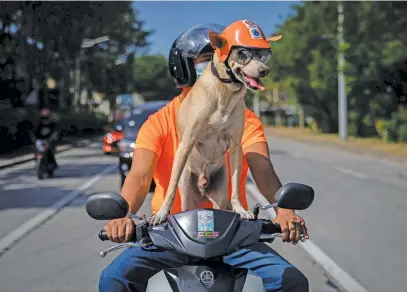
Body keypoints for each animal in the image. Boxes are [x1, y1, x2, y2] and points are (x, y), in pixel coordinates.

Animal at [151, 20, 284, 226]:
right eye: (242, 54)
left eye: (264, 55)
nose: (265, 70)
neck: (225, 95)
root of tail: (203, 184)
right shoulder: (187, 143)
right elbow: (171, 187)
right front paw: (163, 213)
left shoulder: (236, 145)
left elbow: (236, 185)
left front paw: (241, 209)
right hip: (187, 189)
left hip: (219, 193)